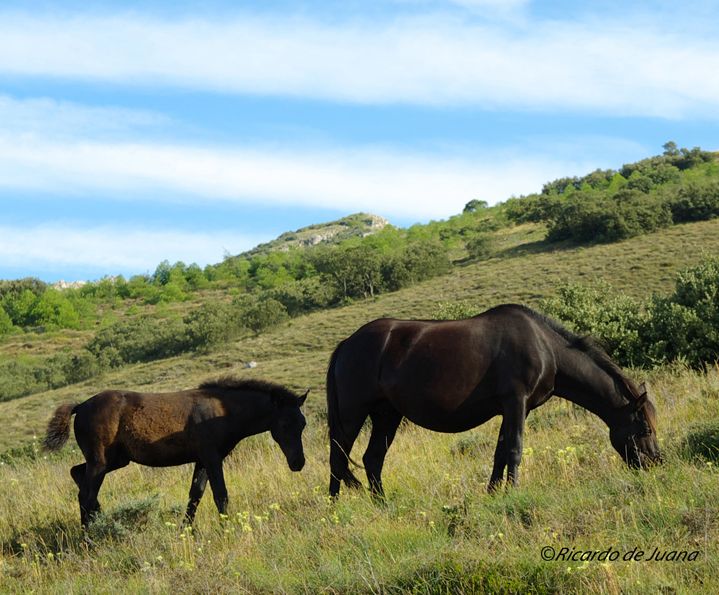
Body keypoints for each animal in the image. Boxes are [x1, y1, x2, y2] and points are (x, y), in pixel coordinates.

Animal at [42, 380, 306, 528]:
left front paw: (185, 530)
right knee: (85, 496)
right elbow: (220, 495)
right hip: (100, 462)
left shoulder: (202, 460)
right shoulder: (212, 459)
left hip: (114, 460)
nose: (298, 463)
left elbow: (195, 495)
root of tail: (80, 406)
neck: (222, 411)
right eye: (284, 424)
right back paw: (89, 537)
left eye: (302, 424)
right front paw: (227, 529)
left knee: (78, 476)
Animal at [330, 302, 660, 498]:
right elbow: (514, 449)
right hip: (352, 414)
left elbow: (500, 452)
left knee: (372, 459)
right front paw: (512, 492)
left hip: (387, 414)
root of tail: (347, 343)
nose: (656, 464)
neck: (544, 346)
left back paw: (383, 505)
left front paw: (492, 492)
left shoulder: (514, 410)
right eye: (644, 430)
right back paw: (335, 509)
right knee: (338, 458)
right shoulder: (516, 402)